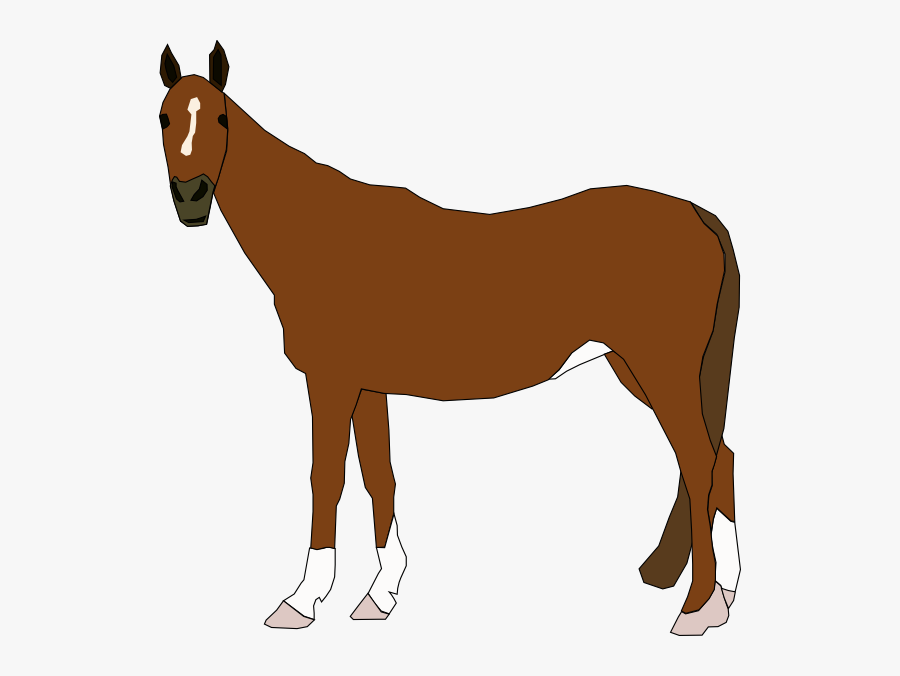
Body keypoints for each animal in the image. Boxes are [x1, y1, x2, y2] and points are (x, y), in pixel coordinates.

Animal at [157, 42, 741, 635]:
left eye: (221, 119)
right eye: (163, 118)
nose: (191, 198)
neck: (320, 235)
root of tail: (698, 215)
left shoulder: (330, 382)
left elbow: (328, 480)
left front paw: (302, 600)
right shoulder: (367, 386)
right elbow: (379, 478)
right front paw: (381, 593)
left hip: (661, 369)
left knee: (701, 464)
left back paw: (697, 608)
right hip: (640, 370)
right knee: (721, 460)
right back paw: (723, 593)